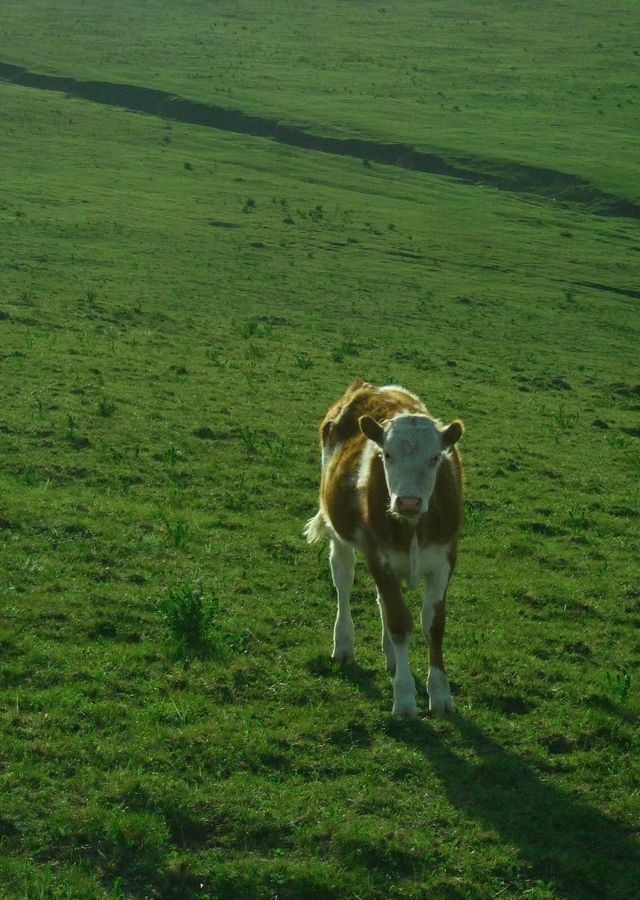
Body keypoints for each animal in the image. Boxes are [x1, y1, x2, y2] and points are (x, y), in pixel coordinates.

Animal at [306, 380, 464, 716]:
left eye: (435, 458)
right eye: (387, 455)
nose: (408, 501)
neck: (413, 524)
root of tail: (368, 386)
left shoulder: (445, 558)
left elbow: (434, 623)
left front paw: (440, 694)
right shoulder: (378, 556)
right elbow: (400, 623)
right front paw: (404, 697)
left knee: (383, 601)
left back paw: (390, 656)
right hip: (339, 536)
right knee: (343, 580)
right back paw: (344, 644)